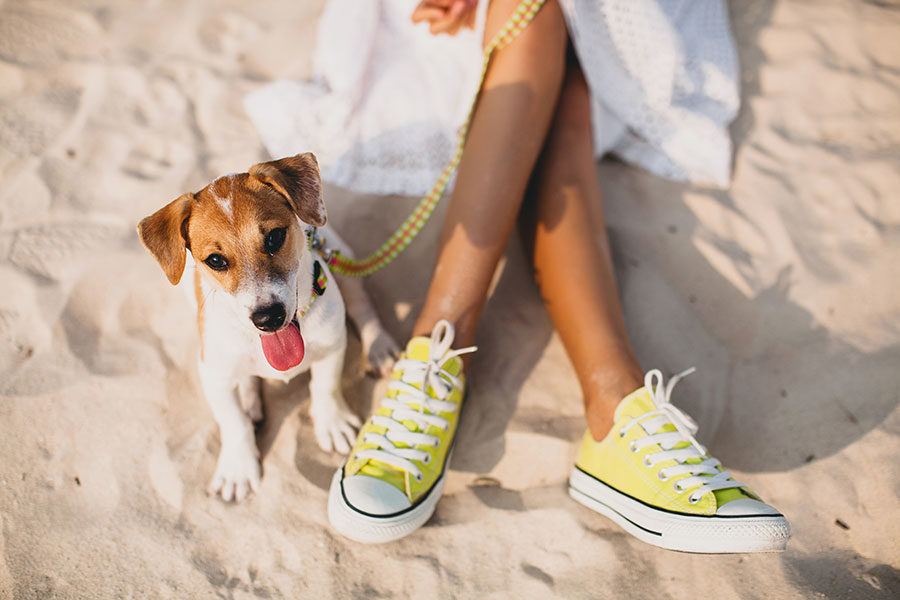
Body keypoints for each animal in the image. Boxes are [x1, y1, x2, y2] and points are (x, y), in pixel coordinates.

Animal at [138, 154, 398, 502]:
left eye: (274, 237)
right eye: (216, 260)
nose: (268, 318)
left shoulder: (333, 343)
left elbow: (326, 386)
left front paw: (332, 423)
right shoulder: (214, 376)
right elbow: (232, 422)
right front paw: (238, 467)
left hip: (344, 258)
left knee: (362, 304)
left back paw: (379, 346)